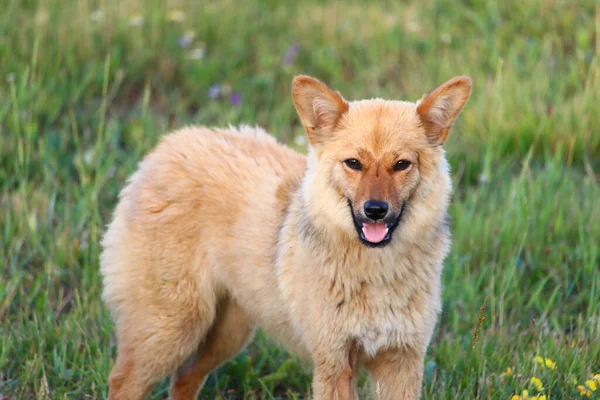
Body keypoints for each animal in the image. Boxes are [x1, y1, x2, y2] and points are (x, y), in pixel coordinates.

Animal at [101, 73, 472, 398]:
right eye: (354, 163)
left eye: (401, 165)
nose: (375, 210)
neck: (377, 274)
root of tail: (166, 147)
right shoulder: (334, 364)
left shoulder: (401, 362)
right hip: (172, 331)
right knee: (123, 381)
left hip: (226, 335)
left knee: (183, 379)